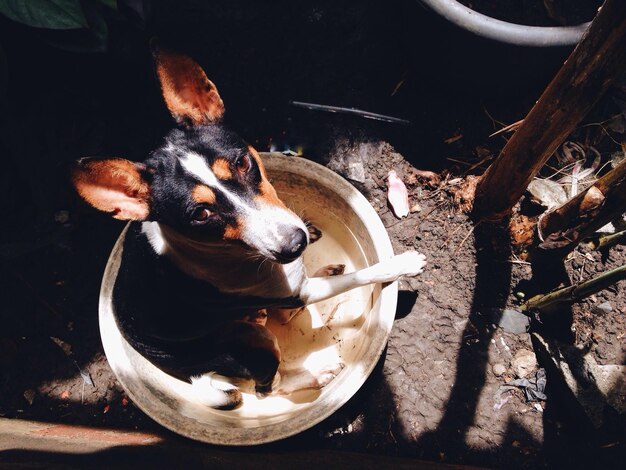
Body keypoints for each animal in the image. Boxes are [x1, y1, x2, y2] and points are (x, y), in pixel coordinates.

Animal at [72, 47, 424, 408]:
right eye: (201, 214)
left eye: (242, 162)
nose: (295, 244)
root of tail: (191, 374)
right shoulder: (297, 292)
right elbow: (360, 277)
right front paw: (400, 265)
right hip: (252, 341)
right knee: (267, 387)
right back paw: (317, 371)